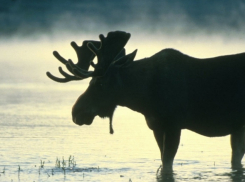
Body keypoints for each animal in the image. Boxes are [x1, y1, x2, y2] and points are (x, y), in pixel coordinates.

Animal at [47, 30, 245, 171]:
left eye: (100, 82)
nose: (76, 112)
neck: (144, 97)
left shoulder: (174, 124)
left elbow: (167, 163)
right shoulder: (156, 126)